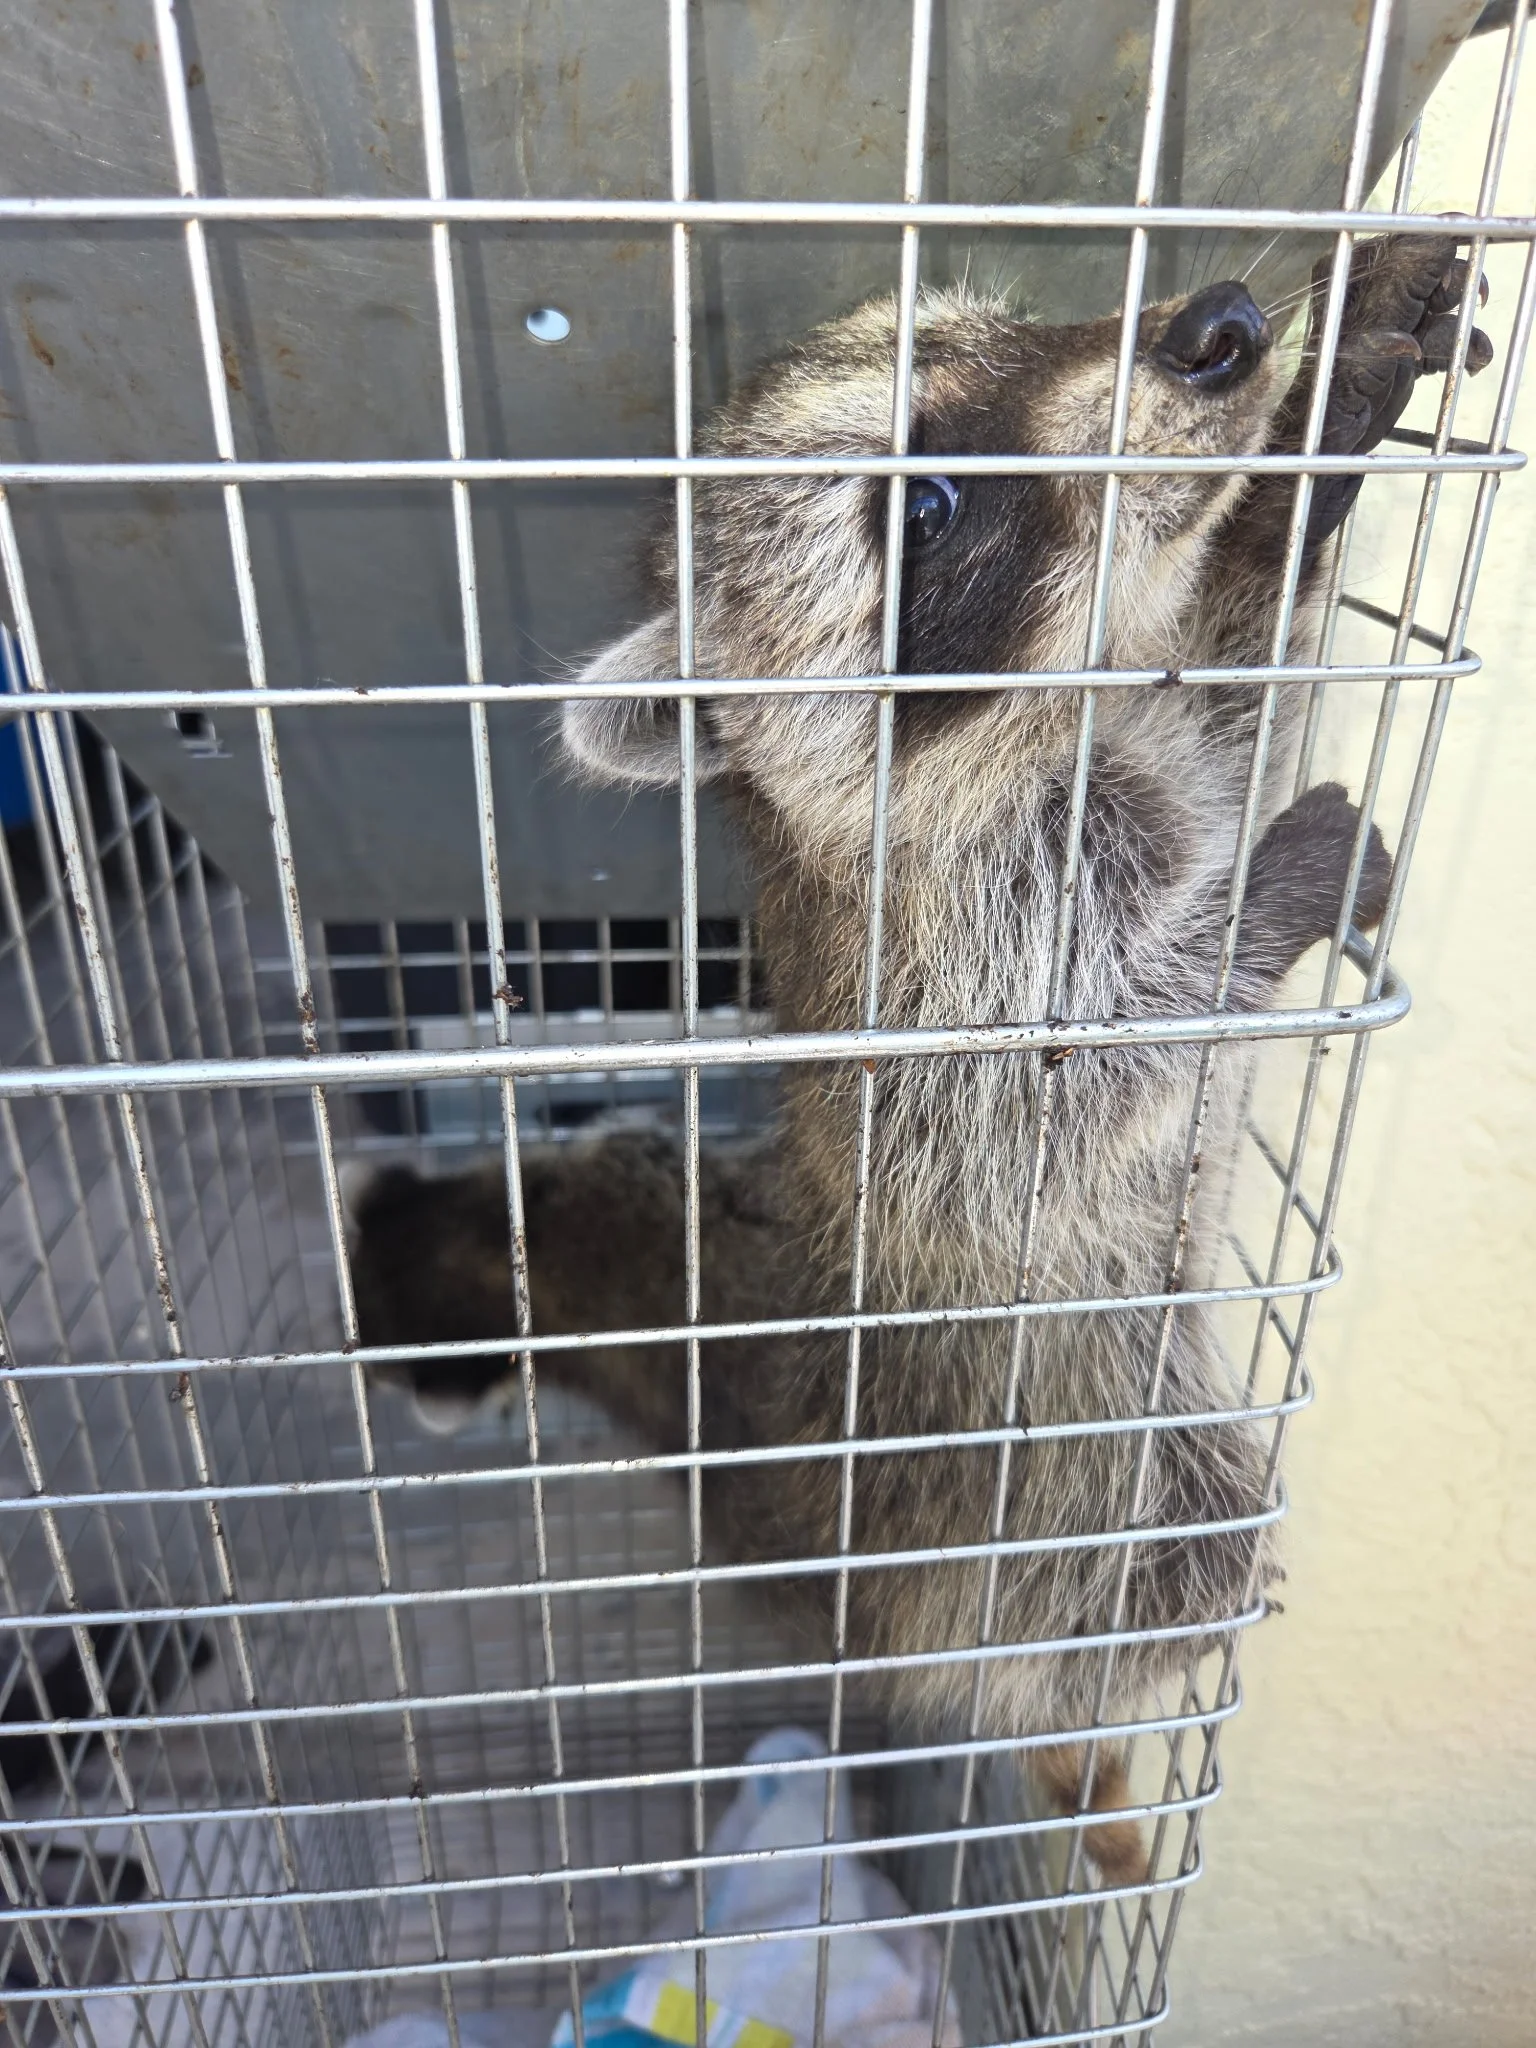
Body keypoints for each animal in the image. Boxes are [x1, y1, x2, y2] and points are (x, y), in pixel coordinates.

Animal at [353, 236, 1490, 1885]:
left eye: (1015, 331)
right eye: (930, 503)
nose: (1216, 331)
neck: (1039, 718)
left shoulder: (1145, 754)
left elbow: (1238, 699)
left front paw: (1302, 469)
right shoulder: (940, 959)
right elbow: (1039, 1108)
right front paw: (1251, 911)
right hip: (1024, 1456)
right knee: (1156, 1561)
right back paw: (1091, 1725)